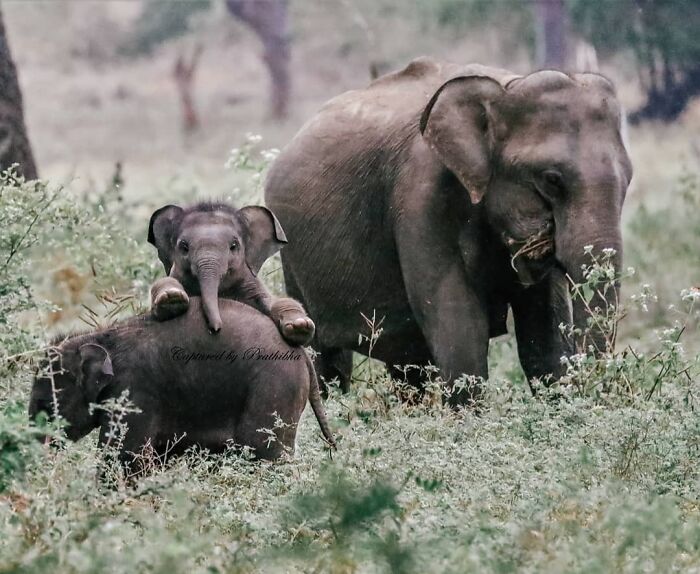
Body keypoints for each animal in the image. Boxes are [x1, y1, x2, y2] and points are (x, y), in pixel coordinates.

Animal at [29, 297, 335, 477]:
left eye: (46, 407)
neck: (102, 336)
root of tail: (302, 354)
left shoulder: (133, 392)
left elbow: (125, 456)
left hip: (274, 388)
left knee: (263, 454)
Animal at [148, 201, 315, 346]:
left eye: (233, 246)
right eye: (184, 247)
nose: (215, 329)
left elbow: (276, 302)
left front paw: (300, 326)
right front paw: (172, 298)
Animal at [264, 57, 633, 404]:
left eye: (628, 179)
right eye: (551, 180)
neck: (506, 87)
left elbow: (543, 332)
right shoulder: (420, 197)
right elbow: (458, 322)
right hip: (293, 260)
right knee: (325, 358)